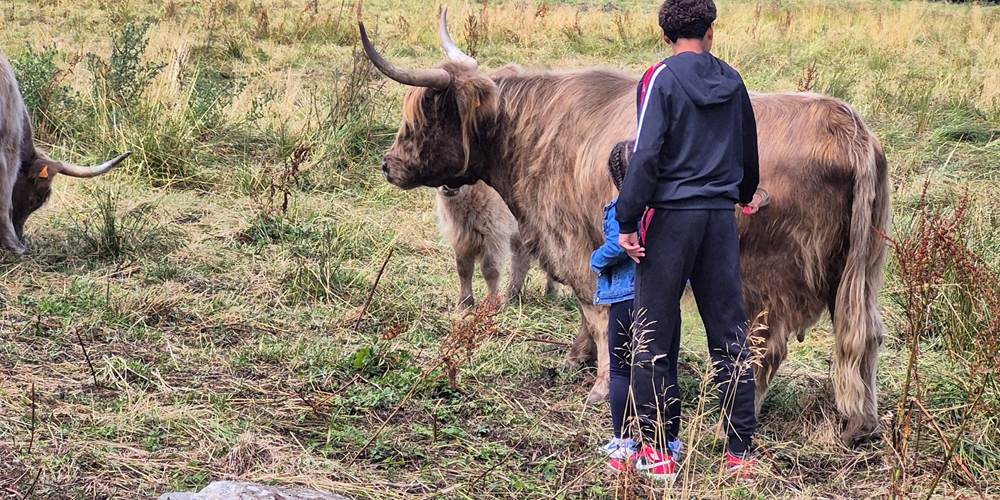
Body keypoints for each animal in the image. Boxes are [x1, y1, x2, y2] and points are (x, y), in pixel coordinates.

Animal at [359, 11, 890, 444]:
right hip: (861, 272)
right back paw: (858, 425)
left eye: (422, 117)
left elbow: (593, 311)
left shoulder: (576, 241)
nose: (388, 165)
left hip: (768, 276)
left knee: (764, 347)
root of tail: (851, 128)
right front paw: (576, 360)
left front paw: (598, 387)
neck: (527, 135)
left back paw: (727, 425)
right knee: (864, 337)